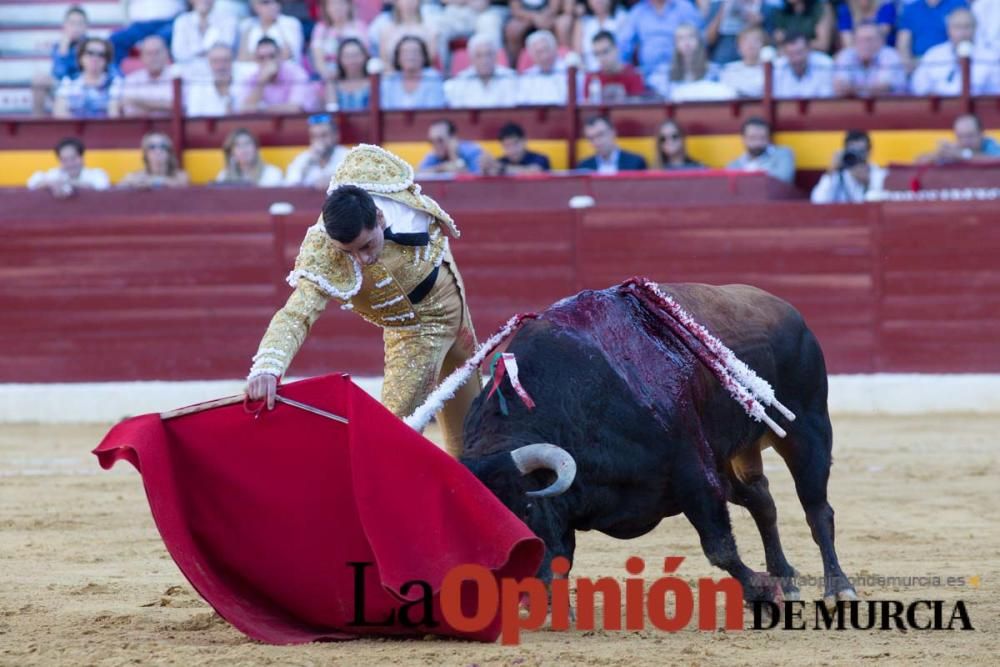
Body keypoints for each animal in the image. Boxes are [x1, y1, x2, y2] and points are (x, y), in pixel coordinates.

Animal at [460, 280, 860, 604]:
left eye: (525, 509)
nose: (517, 591)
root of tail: (790, 312)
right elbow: (562, 556)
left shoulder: (693, 472)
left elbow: (720, 548)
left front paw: (760, 590)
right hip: (733, 456)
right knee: (763, 502)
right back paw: (787, 580)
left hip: (807, 430)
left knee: (817, 510)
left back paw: (838, 587)